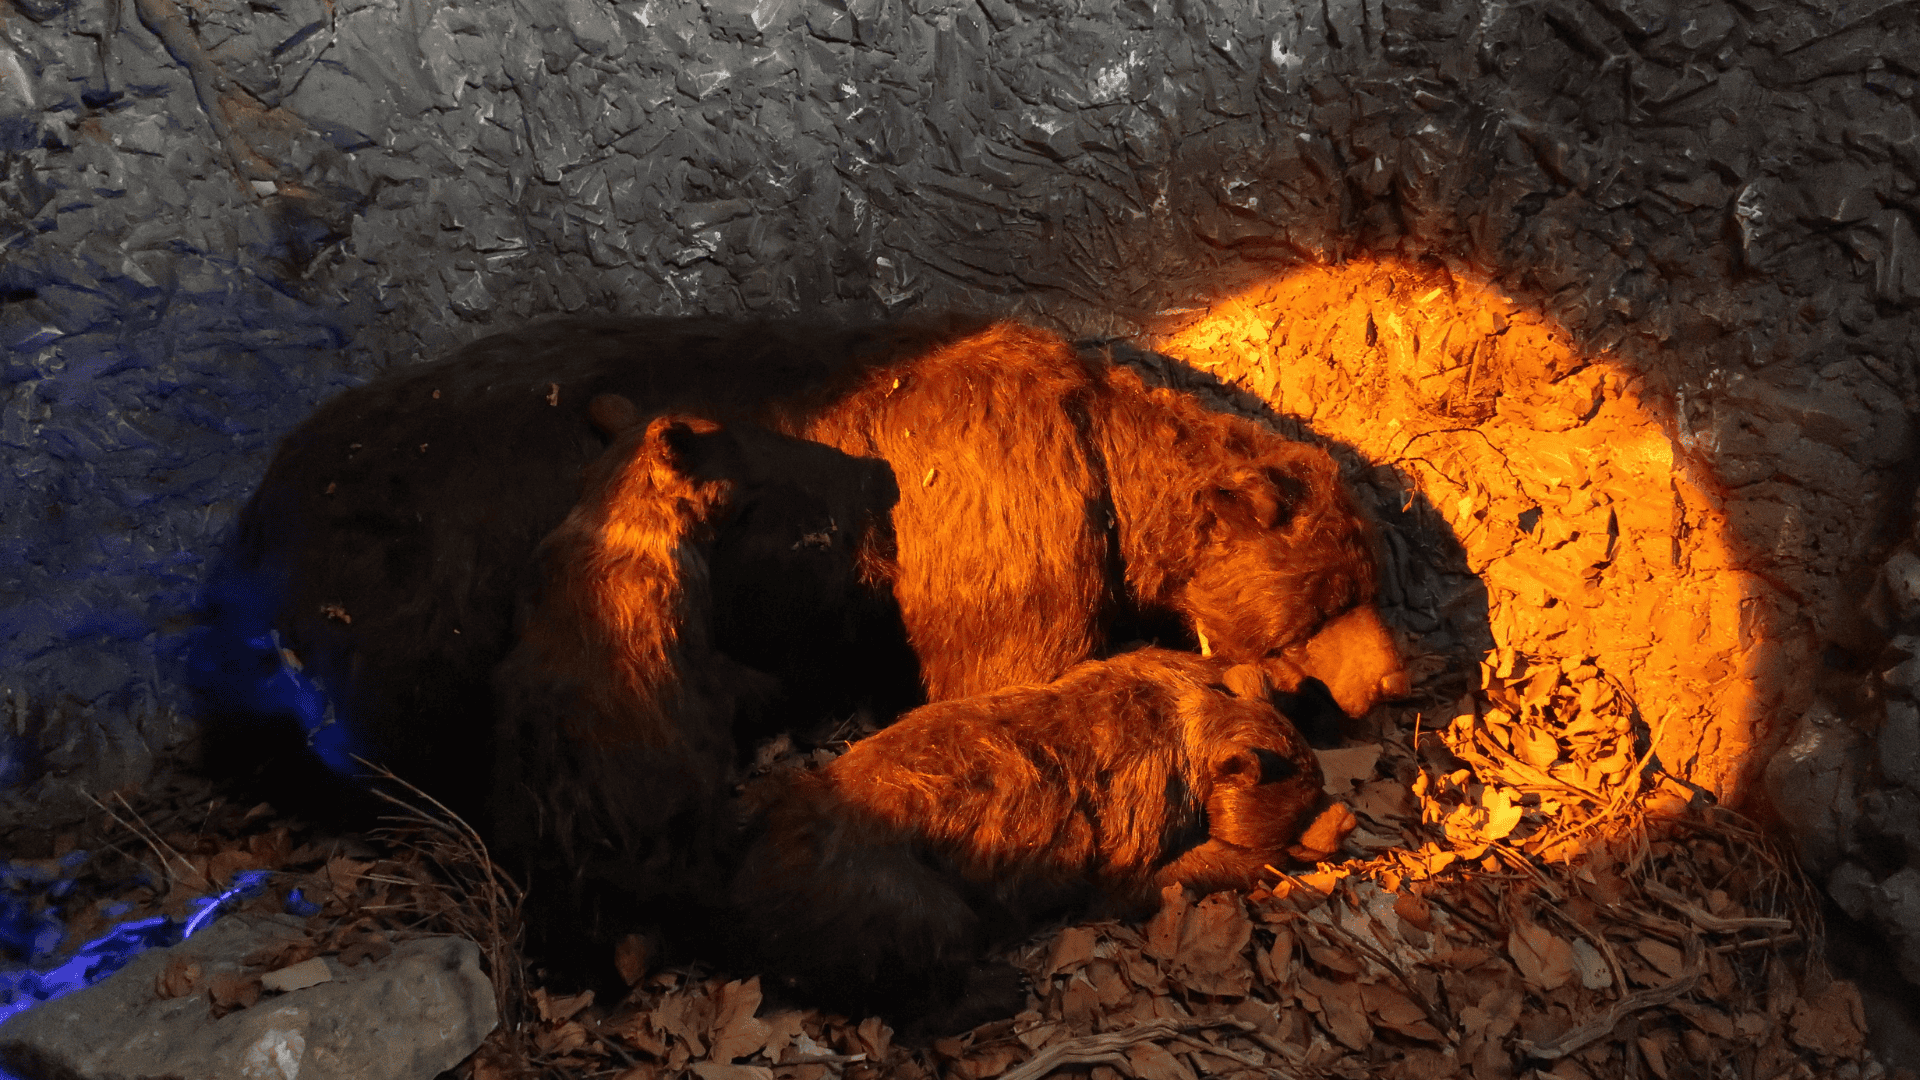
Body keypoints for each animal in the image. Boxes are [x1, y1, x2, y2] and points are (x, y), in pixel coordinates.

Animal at [722, 647, 1356, 1027]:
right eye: (1303, 796)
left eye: (1316, 777)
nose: (1345, 818)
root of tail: (741, 906)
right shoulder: (1133, 828)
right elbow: (1148, 879)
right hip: (899, 898)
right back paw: (1006, 989)